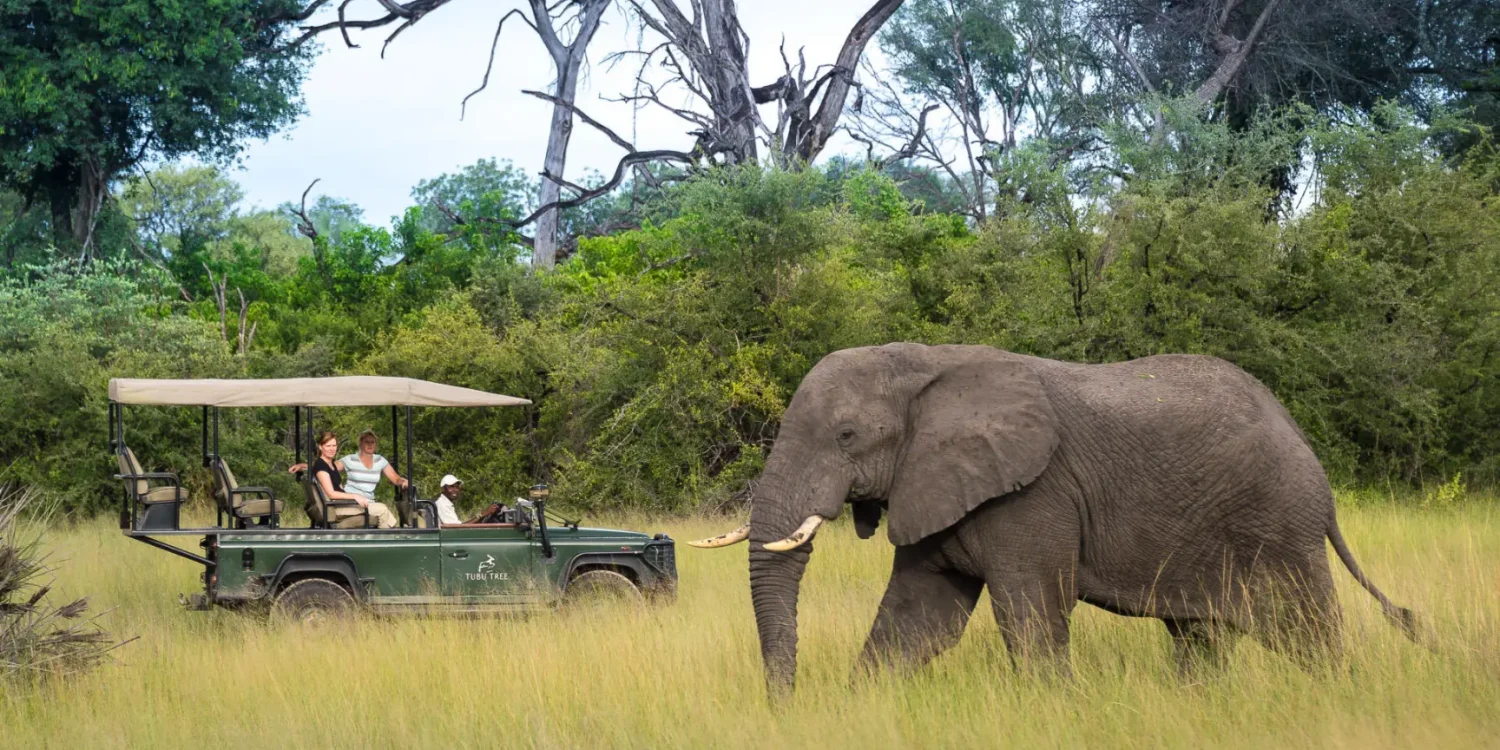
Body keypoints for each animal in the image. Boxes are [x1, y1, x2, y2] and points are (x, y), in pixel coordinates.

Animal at [690, 343, 1419, 695]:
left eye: (846, 436)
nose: (785, 703)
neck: (924, 364)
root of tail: (1307, 451)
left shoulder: (1032, 495)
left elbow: (1030, 616)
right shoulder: (939, 482)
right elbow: (917, 620)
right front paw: (857, 709)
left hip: (1276, 522)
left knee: (1306, 630)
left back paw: (1337, 696)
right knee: (1201, 637)